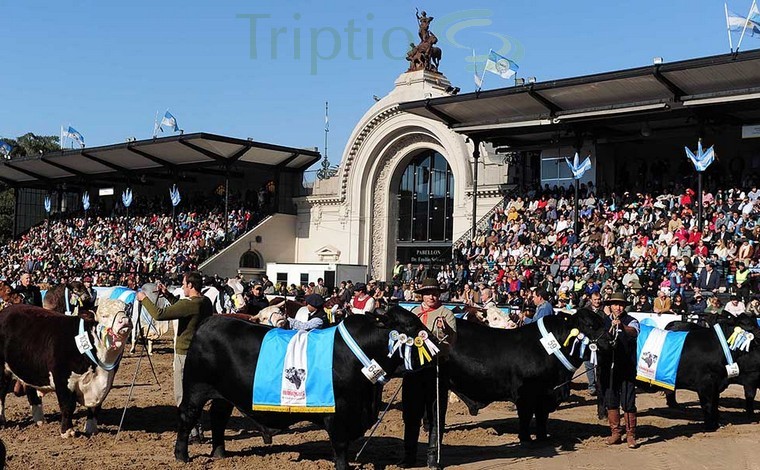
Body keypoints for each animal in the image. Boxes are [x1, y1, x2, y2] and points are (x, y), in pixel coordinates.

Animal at [0, 298, 131, 436]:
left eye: (126, 312)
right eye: (104, 315)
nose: (125, 320)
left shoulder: (106, 382)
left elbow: (95, 408)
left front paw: (92, 430)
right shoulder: (63, 380)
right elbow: (67, 406)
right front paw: (67, 432)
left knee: (31, 392)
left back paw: (40, 421)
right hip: (2, 370)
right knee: (2, 392)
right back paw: (2, 421)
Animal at [174, 304, 436, 466]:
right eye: (410, 326)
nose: (435, 341)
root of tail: (211, 320)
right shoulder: (338, 414)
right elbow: (340, 447)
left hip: (224, 395)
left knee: (218, 417)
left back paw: (220, 453)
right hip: (195, 389)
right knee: (187, 417)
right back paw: (181, 456)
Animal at [446, 310, 604, 442]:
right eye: (590, 325)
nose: (609, 340)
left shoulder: (545, 395)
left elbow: (541, 417)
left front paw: (542, 438)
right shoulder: (525, 395)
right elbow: (526, 417)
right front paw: (525, 439)